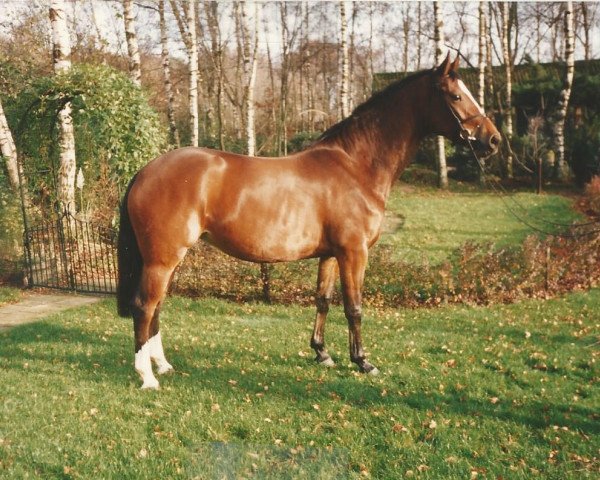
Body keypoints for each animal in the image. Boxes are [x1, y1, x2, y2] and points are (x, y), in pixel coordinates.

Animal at [117, 54, 502, 388]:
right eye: (456, 95)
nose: (494, 139)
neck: (355, 167)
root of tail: (145, 171)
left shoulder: (330, 255)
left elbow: (323, 300)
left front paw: (323, 354)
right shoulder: (354, 253)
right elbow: (354, 307)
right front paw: (363, 361)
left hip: (168, 260)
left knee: (156, 308)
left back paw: (163, 365)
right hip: (162, 259)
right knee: (145, 306)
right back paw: (147, 377)